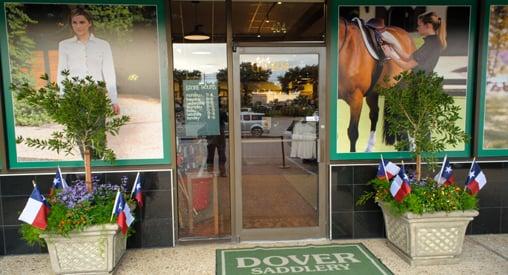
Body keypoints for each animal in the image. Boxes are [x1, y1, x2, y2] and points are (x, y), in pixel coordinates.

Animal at [338, 17, 416, 153]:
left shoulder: (356, 98)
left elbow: (352, 132)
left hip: (402, 89)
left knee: (405, 117)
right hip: (375, 92)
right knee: (375, 114)